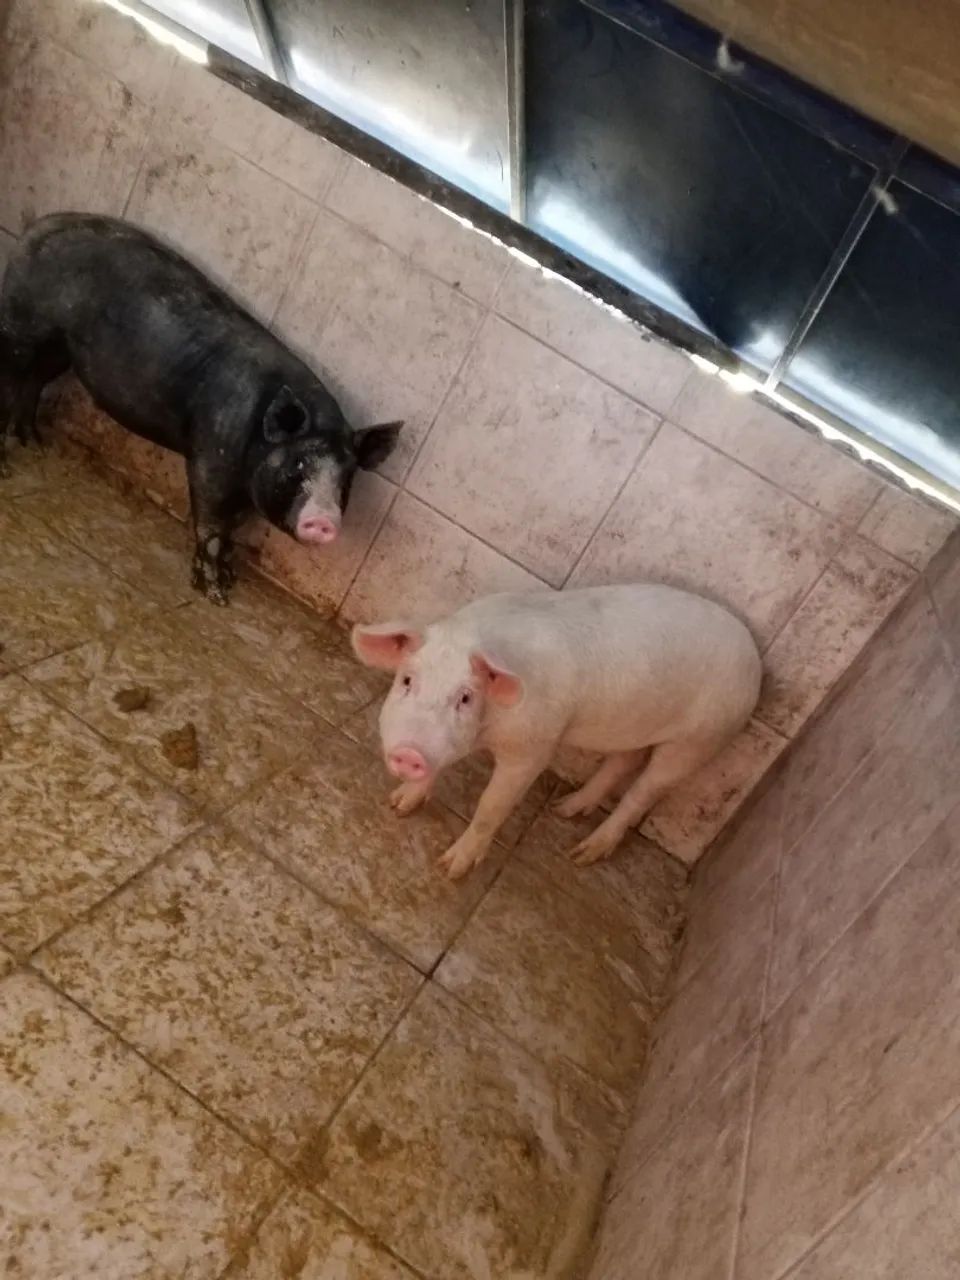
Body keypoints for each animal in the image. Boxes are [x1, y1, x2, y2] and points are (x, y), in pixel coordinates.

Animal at [0, 213, 402, 603]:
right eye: (299, 463)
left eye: (347, 477)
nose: (324, 520)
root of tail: (37, 226)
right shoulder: (211, 457)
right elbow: (211, 522)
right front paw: (217, 596)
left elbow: (232, 527)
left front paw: (226, 580)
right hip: (23, 324)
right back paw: (7, 467)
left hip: (59, 348)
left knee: (34, 380)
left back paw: (34, 443)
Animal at [352, 585, 762, 878]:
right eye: (407, 680)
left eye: (465, 698)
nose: (409, 753)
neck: (488, 732)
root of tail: (754, 657)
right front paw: (397, 805)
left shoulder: (535, 747)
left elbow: (490, 807)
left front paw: (450, 869)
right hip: (634, 726)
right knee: (624, 761)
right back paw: (563, 810)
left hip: (700, 740)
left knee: (643, 793)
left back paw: (581, 854)